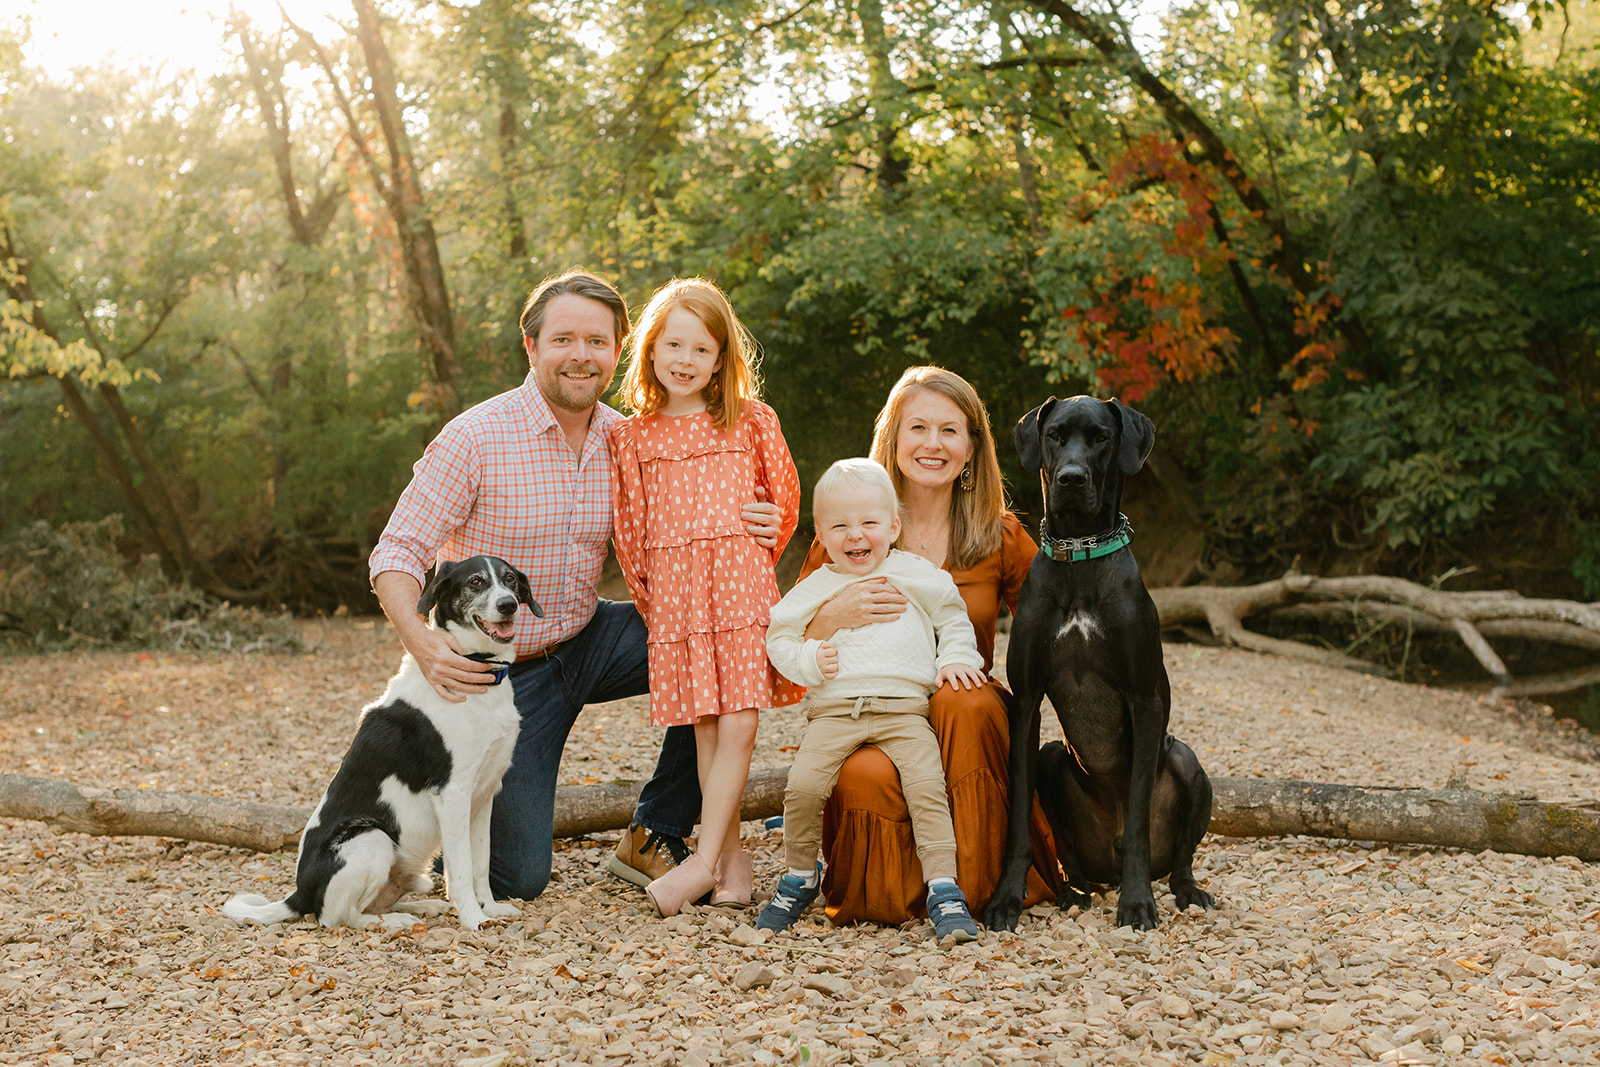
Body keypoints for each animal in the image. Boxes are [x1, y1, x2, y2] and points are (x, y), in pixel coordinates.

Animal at [222, 556, 540, 927]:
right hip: (372, 838)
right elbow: (461, 869)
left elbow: (480, 865)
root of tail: (299, 895)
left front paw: (489, 908)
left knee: (375, 903)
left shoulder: (484, 794)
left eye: (510, 580)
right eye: (475, 582)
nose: (508, 605)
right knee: (340, 917)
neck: (476, 667)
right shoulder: (453, 794)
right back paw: (395, 922)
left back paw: (420, 907)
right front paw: (474, 919)